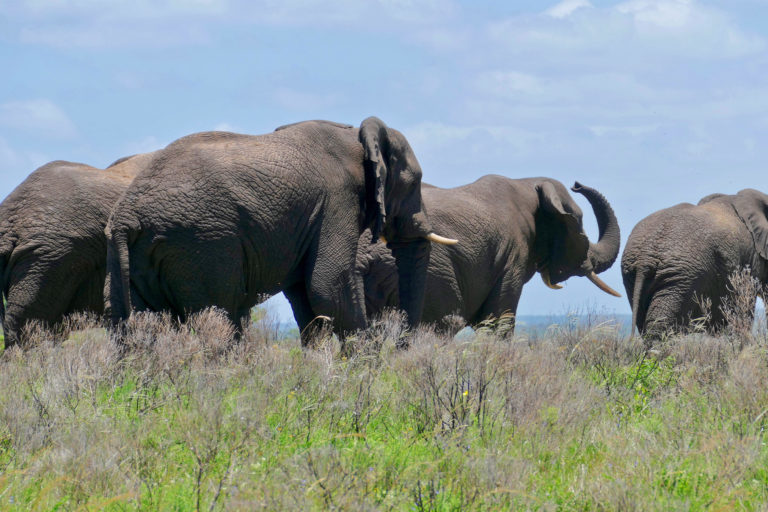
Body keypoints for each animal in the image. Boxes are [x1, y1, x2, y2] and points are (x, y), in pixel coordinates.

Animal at [104, 117, 456, 342]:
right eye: (415, 182)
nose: (400, 345)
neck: (356, 137)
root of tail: (127, 215)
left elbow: (306, 297)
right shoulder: (337, 201)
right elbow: (328, 285)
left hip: (128, 255)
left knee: (127, 326)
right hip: (202, 245)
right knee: (219, 316)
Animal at [288, 176, 622, 338]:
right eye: (580, 225)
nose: (578, 184)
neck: (529, 185)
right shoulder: (512, 256)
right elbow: (497, 323)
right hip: (430, 273)